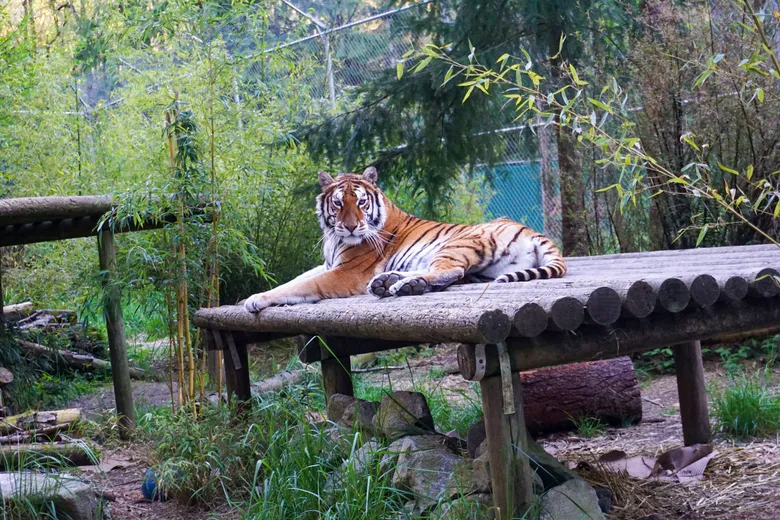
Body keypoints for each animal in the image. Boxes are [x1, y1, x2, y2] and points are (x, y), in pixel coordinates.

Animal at [244, 166, 566, 313]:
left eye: (361, 202)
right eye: (338, 203)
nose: (351, 227)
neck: (333, 238)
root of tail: (533, 231)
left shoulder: (345, 273)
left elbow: (301, 285)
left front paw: (255, 299)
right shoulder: (328, 264)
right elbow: (295, 279)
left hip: (456, 244)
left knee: (450, 270)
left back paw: (399, 284)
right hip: (481, 268)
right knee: (451, 275)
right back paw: (393, 282)